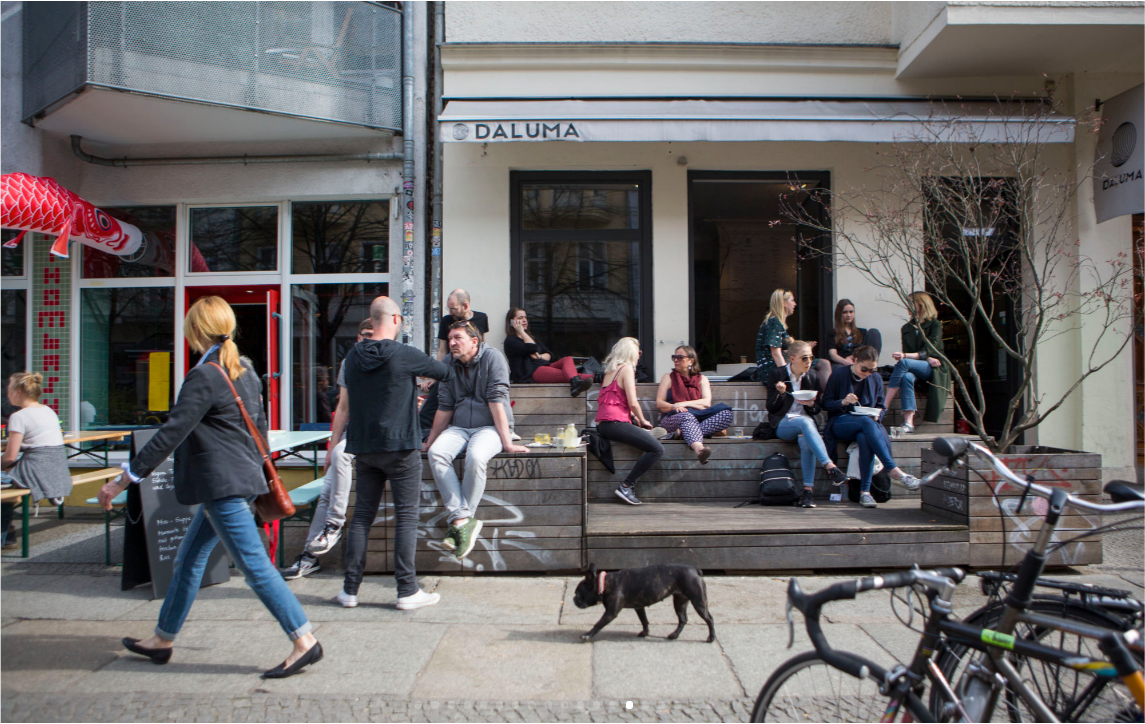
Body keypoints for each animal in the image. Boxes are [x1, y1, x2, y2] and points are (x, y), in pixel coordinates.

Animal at [572, 563, 714, 641]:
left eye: (578, 593)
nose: (573, 599)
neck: (604, 584)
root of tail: (695, 570)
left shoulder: (610, 613)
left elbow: (598, 624)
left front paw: (587, 635)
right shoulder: (639, 607)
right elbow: (644, 620)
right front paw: (645, 633)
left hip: (698, 601)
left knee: (709, 619)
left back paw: (711, 638)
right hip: (680, 602)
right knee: (683, 619)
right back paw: (674, 635)